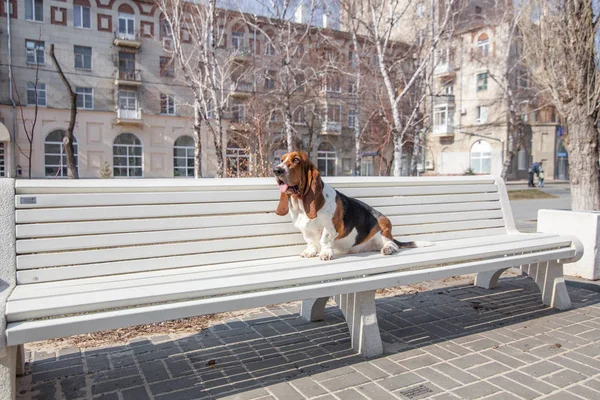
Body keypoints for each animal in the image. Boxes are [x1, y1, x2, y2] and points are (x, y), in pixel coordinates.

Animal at [274, 152, 428, 260]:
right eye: (281, 160)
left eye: (296, 160)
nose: (276, 170)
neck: (300, 204)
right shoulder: (305, 230)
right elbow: (311, 241)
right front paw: (310, 252)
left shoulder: (330, 227)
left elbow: (324, 240)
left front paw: (325, 253)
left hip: (384, 227)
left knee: (393, 244)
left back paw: (388, 249)